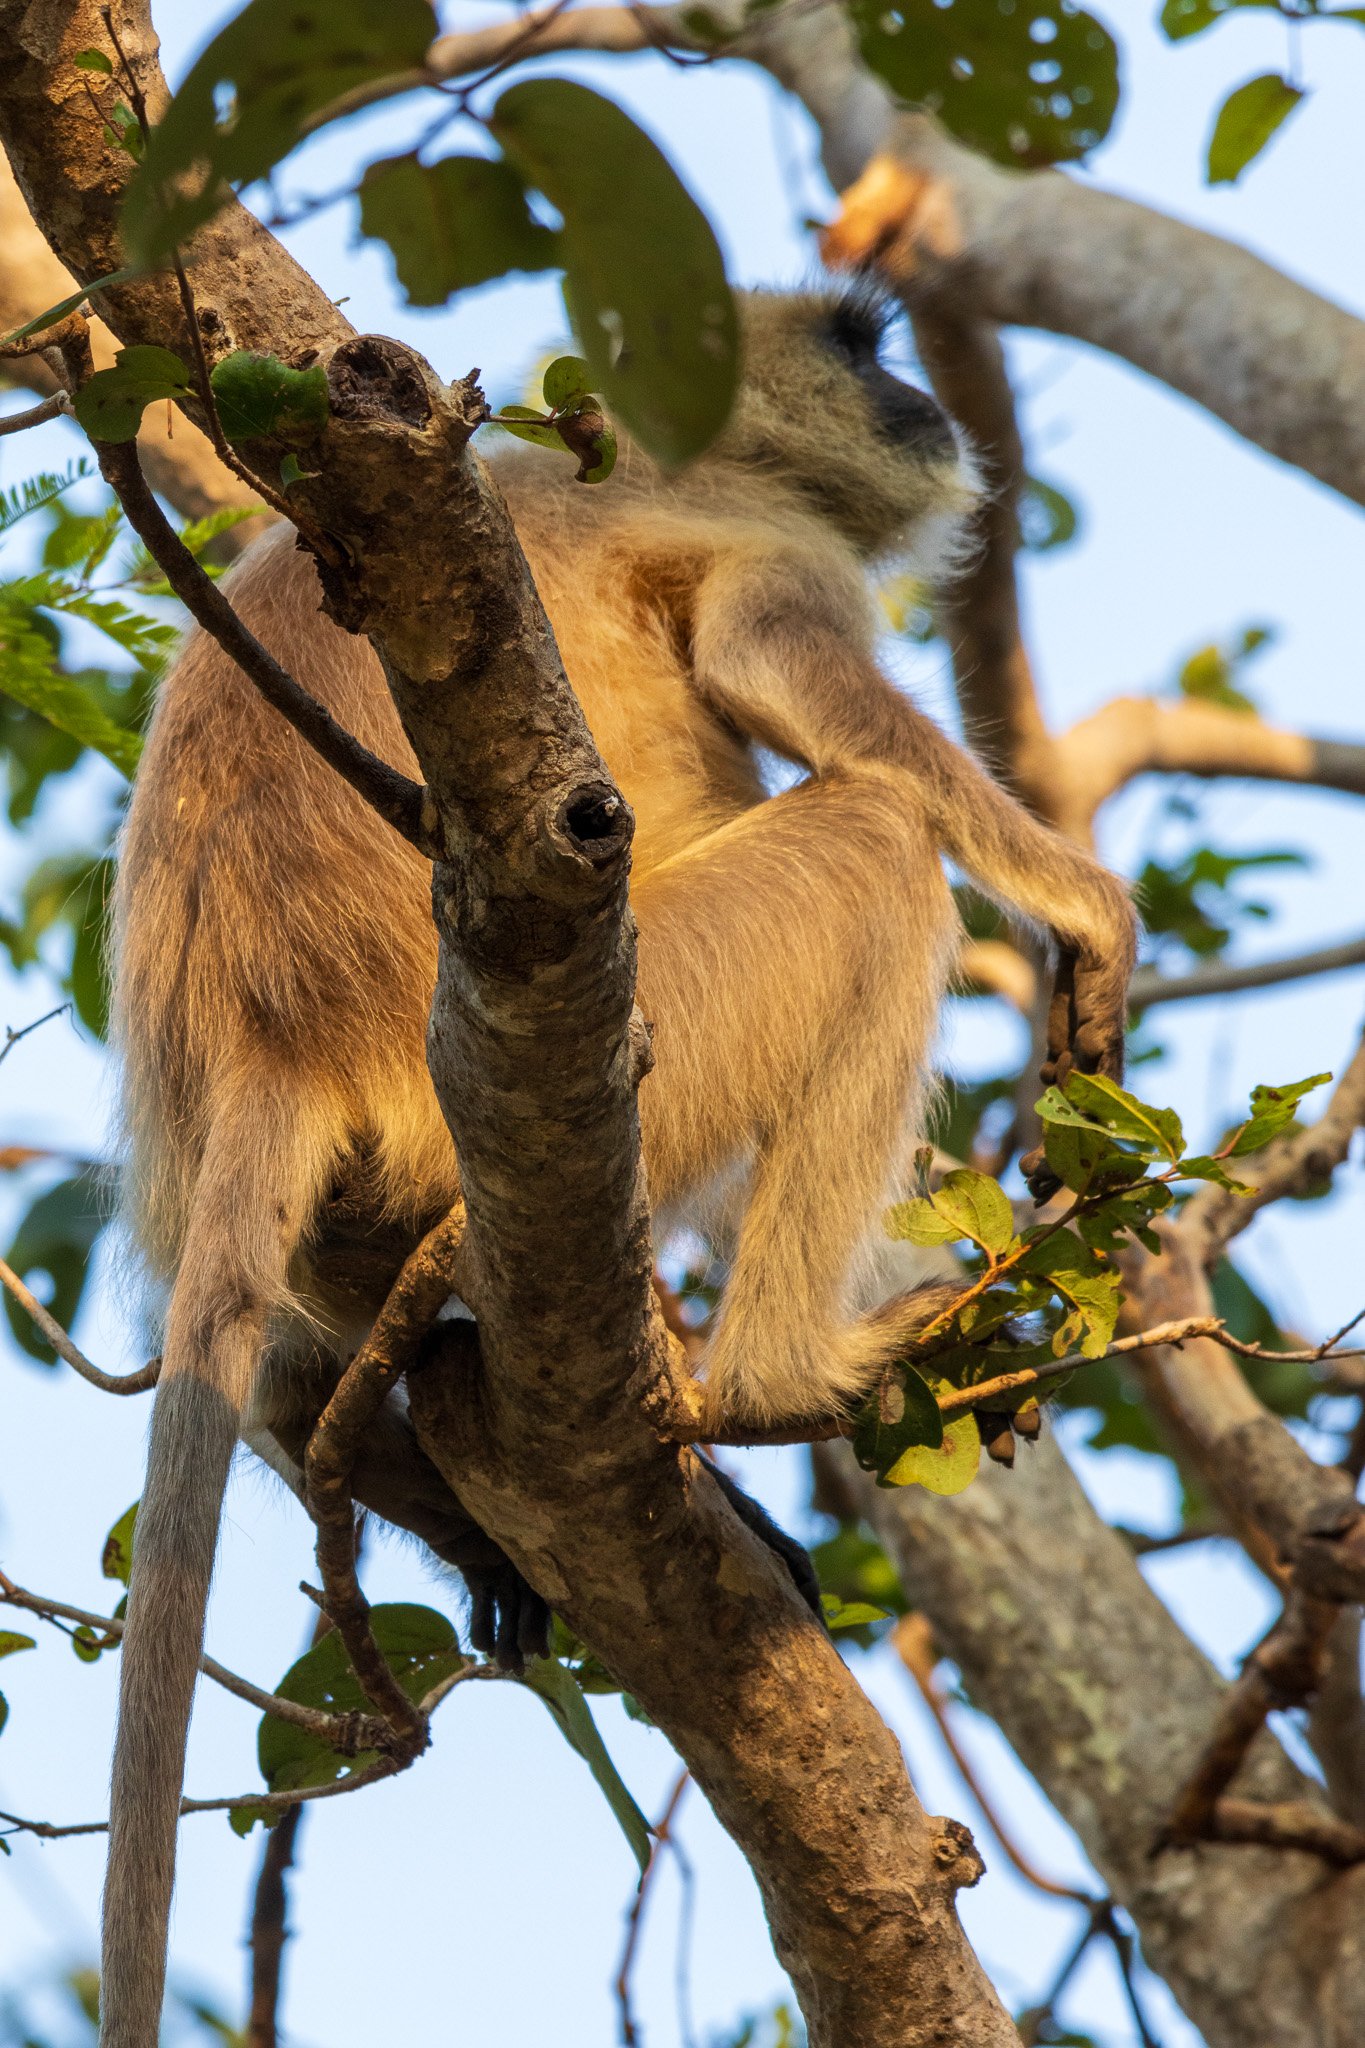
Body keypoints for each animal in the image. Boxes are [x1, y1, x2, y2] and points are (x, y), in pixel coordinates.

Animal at [101, 288, 1137, 2048]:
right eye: (859, 343)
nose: (924, 402)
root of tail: (275, 1038)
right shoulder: (769, 540)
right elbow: (790, 676)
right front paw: (1083, 906)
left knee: (295, 1361)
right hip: (628, 1024)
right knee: (876, 844)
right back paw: (786, 1371)